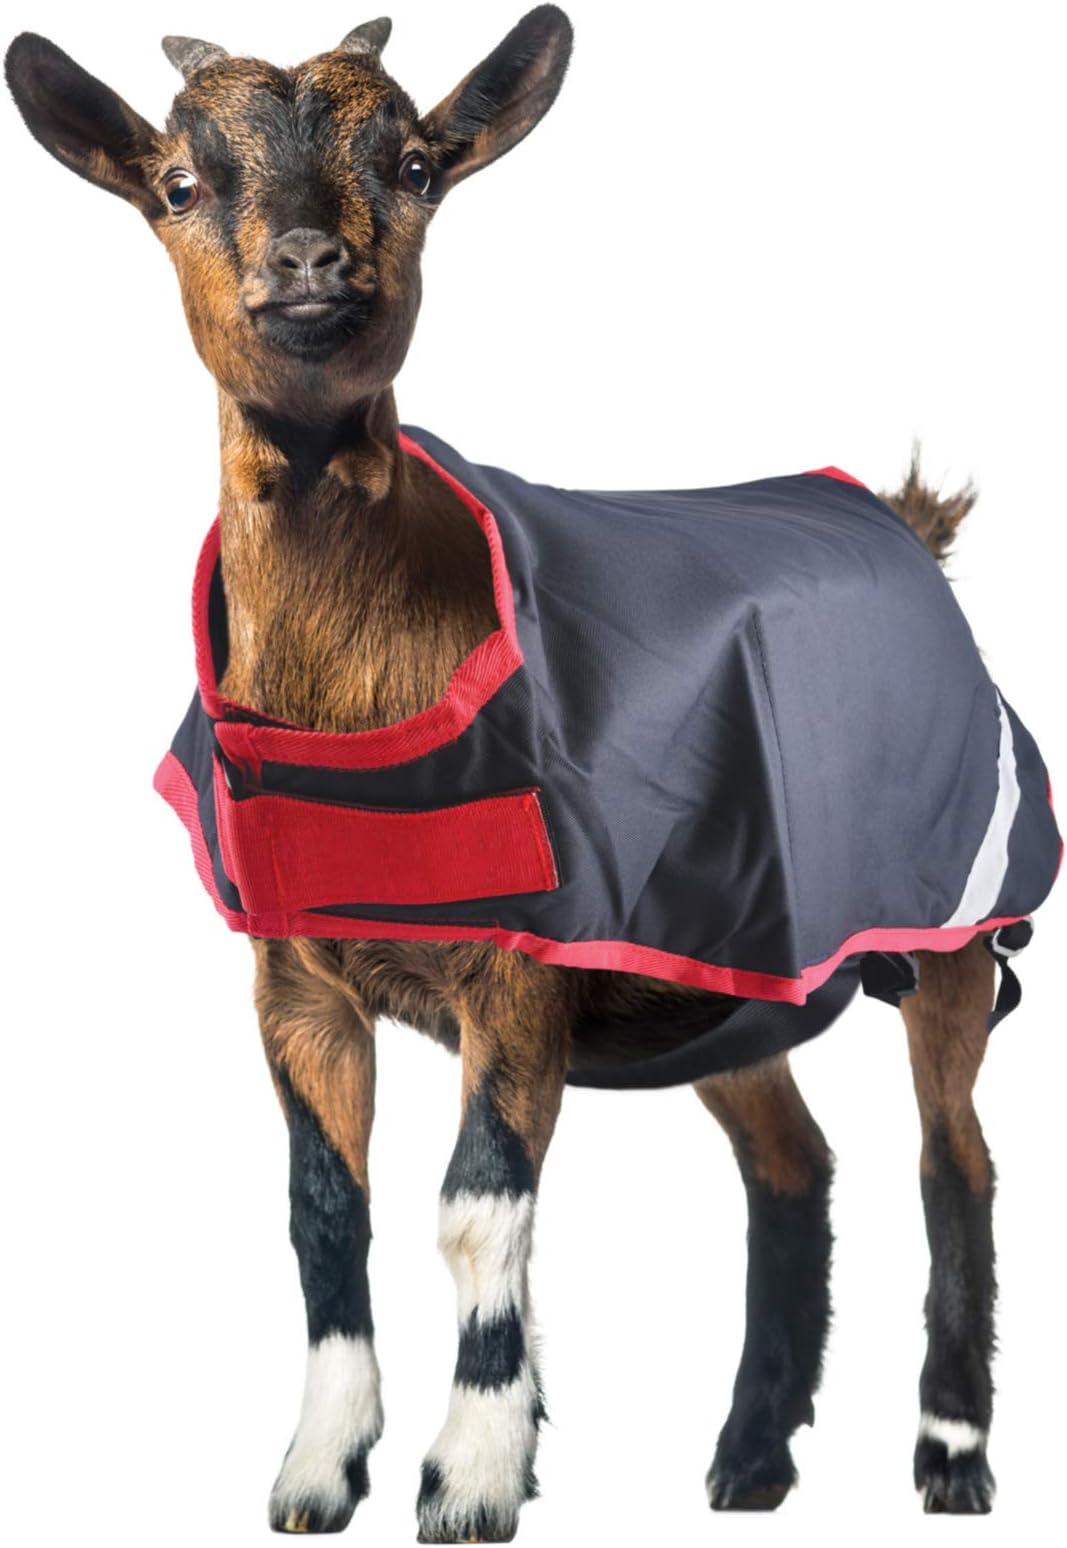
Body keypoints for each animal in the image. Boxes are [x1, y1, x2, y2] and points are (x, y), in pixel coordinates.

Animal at [5, 10, 1060, 1539]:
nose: (310, 265)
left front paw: (474, 1473)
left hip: (951, 925)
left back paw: (949, 1453)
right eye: (178, 186)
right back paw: (749, 1458)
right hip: (726, 971)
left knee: (953, 1157)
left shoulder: (518, 963)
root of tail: (902, 525)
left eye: (414, 164)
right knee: (790, 1159)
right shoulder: (293, 976)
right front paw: (319, 1468)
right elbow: (324, 1211)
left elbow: (473, 1208)